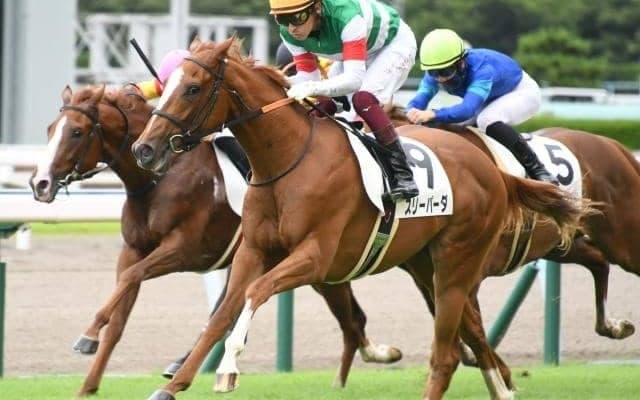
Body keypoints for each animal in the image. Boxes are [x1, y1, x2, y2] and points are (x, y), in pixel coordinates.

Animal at [29, 84, 405, 396]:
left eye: (76, 132)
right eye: (49, 129)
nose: (40, 183)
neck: (160, 178)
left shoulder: (185, 250)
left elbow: (132, 278)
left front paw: (88, 334)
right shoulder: (134, 249)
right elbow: (121, 311)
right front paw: (88, 384)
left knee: (351, 318)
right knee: (349, 319)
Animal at [131, 37, 585, 400]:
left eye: (192, 88)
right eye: (166, 86)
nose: (144, 149)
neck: (288, 159)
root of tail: (493, 169)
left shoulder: (316, 257)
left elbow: (256, 292)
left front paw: (227, 370)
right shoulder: (254, 250)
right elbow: (222, 313)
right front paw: (172, 386)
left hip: (457, 262)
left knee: (447, 354)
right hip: (427, 264)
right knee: (471, 332)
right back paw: (503, 388)